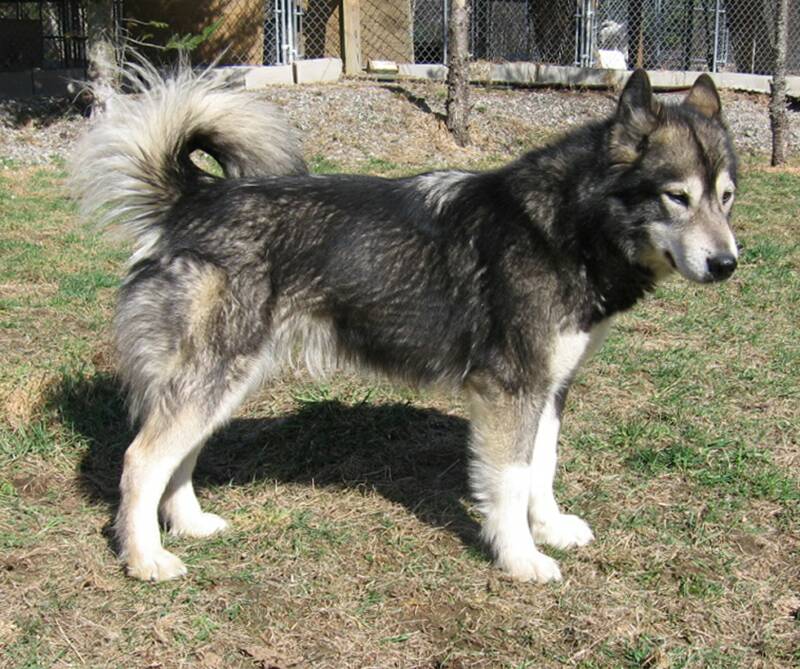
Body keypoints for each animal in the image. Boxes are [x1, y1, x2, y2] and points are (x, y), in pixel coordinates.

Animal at [72, 64, 740, 584]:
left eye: (727, 196)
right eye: (676, 196)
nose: (728, 264)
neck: (566, 226)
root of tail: (194, 196)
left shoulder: (550, 388)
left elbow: (541, 469)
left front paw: (548, 528)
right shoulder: (510, 391)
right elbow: (510, 481)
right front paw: (521, 559)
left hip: (224, 381)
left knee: (179, 455)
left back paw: (189, 524)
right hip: (215, 373)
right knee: (142, 460)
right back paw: (146, 558)